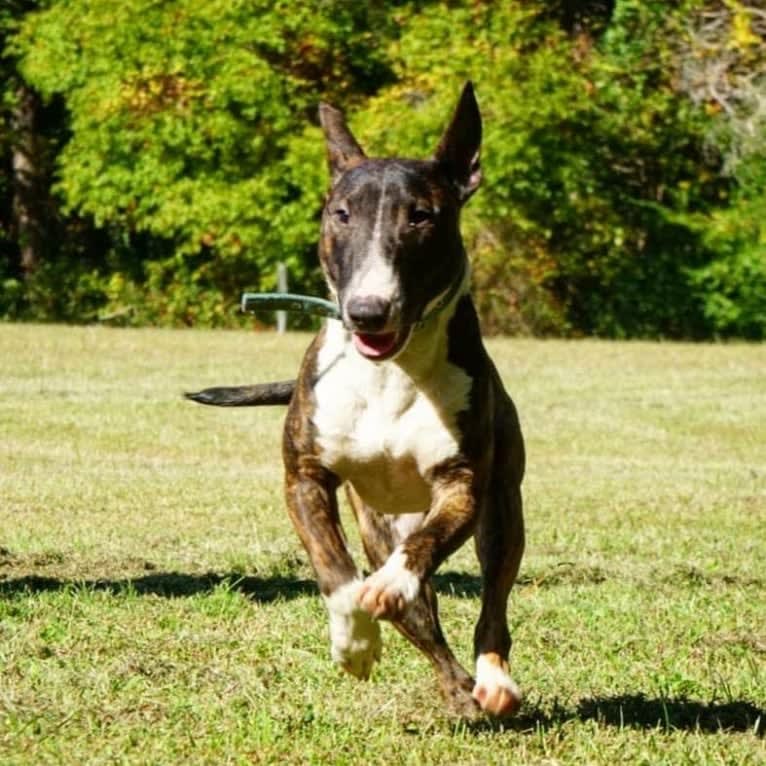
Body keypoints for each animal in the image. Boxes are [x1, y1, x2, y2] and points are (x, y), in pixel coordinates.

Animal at [190, 84, 528, 720]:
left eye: (421, 215)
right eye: (340, 214)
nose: (368, 311)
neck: (389, 374)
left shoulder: (464, 486)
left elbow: (420, 553)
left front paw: (389, 586)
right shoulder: (305, 477)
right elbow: (335, 571)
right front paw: (355, 643)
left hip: (502, 511)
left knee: (492, 601)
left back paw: (491, 681)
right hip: (378, 522)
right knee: (425, 622)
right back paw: (453, 687)